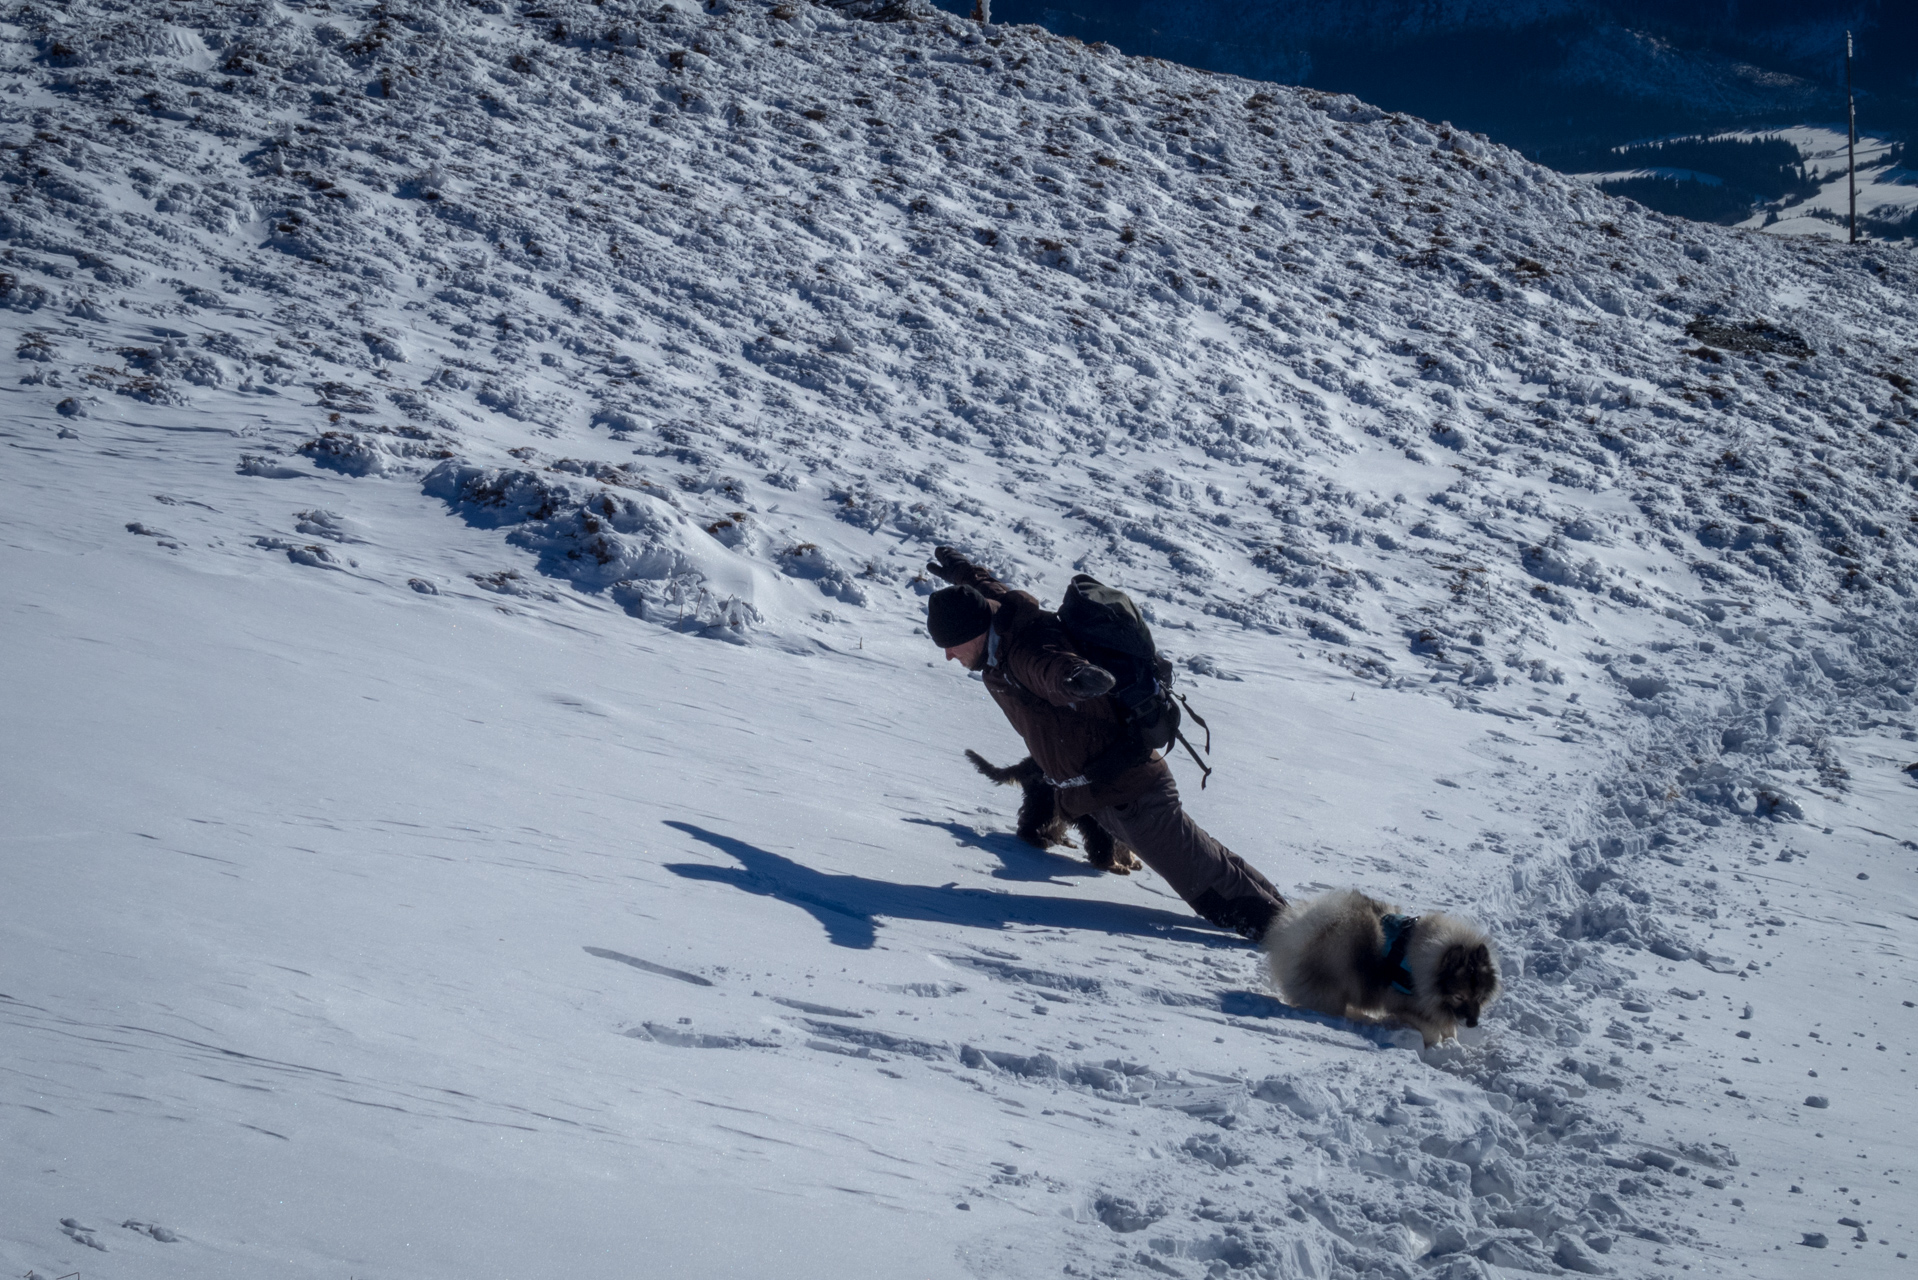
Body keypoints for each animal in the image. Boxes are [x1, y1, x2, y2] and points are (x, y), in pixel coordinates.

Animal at [959, 756, 1135, 875]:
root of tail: (1027, 763)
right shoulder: (1101, 826)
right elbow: (1104, 847)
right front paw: (1114, 866)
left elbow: (1123, 845)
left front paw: (1129, 861)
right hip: (1045, 803)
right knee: (1028, 825)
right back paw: (1036, 840)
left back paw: (1061, 841)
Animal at [1265, 886, 1503, 1043]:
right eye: (1459, 996)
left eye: (1479, 996)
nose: (1472, 1023)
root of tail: (1300, 933)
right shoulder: (1402, 1003)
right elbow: (1431, 1029)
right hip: (1333, 990)